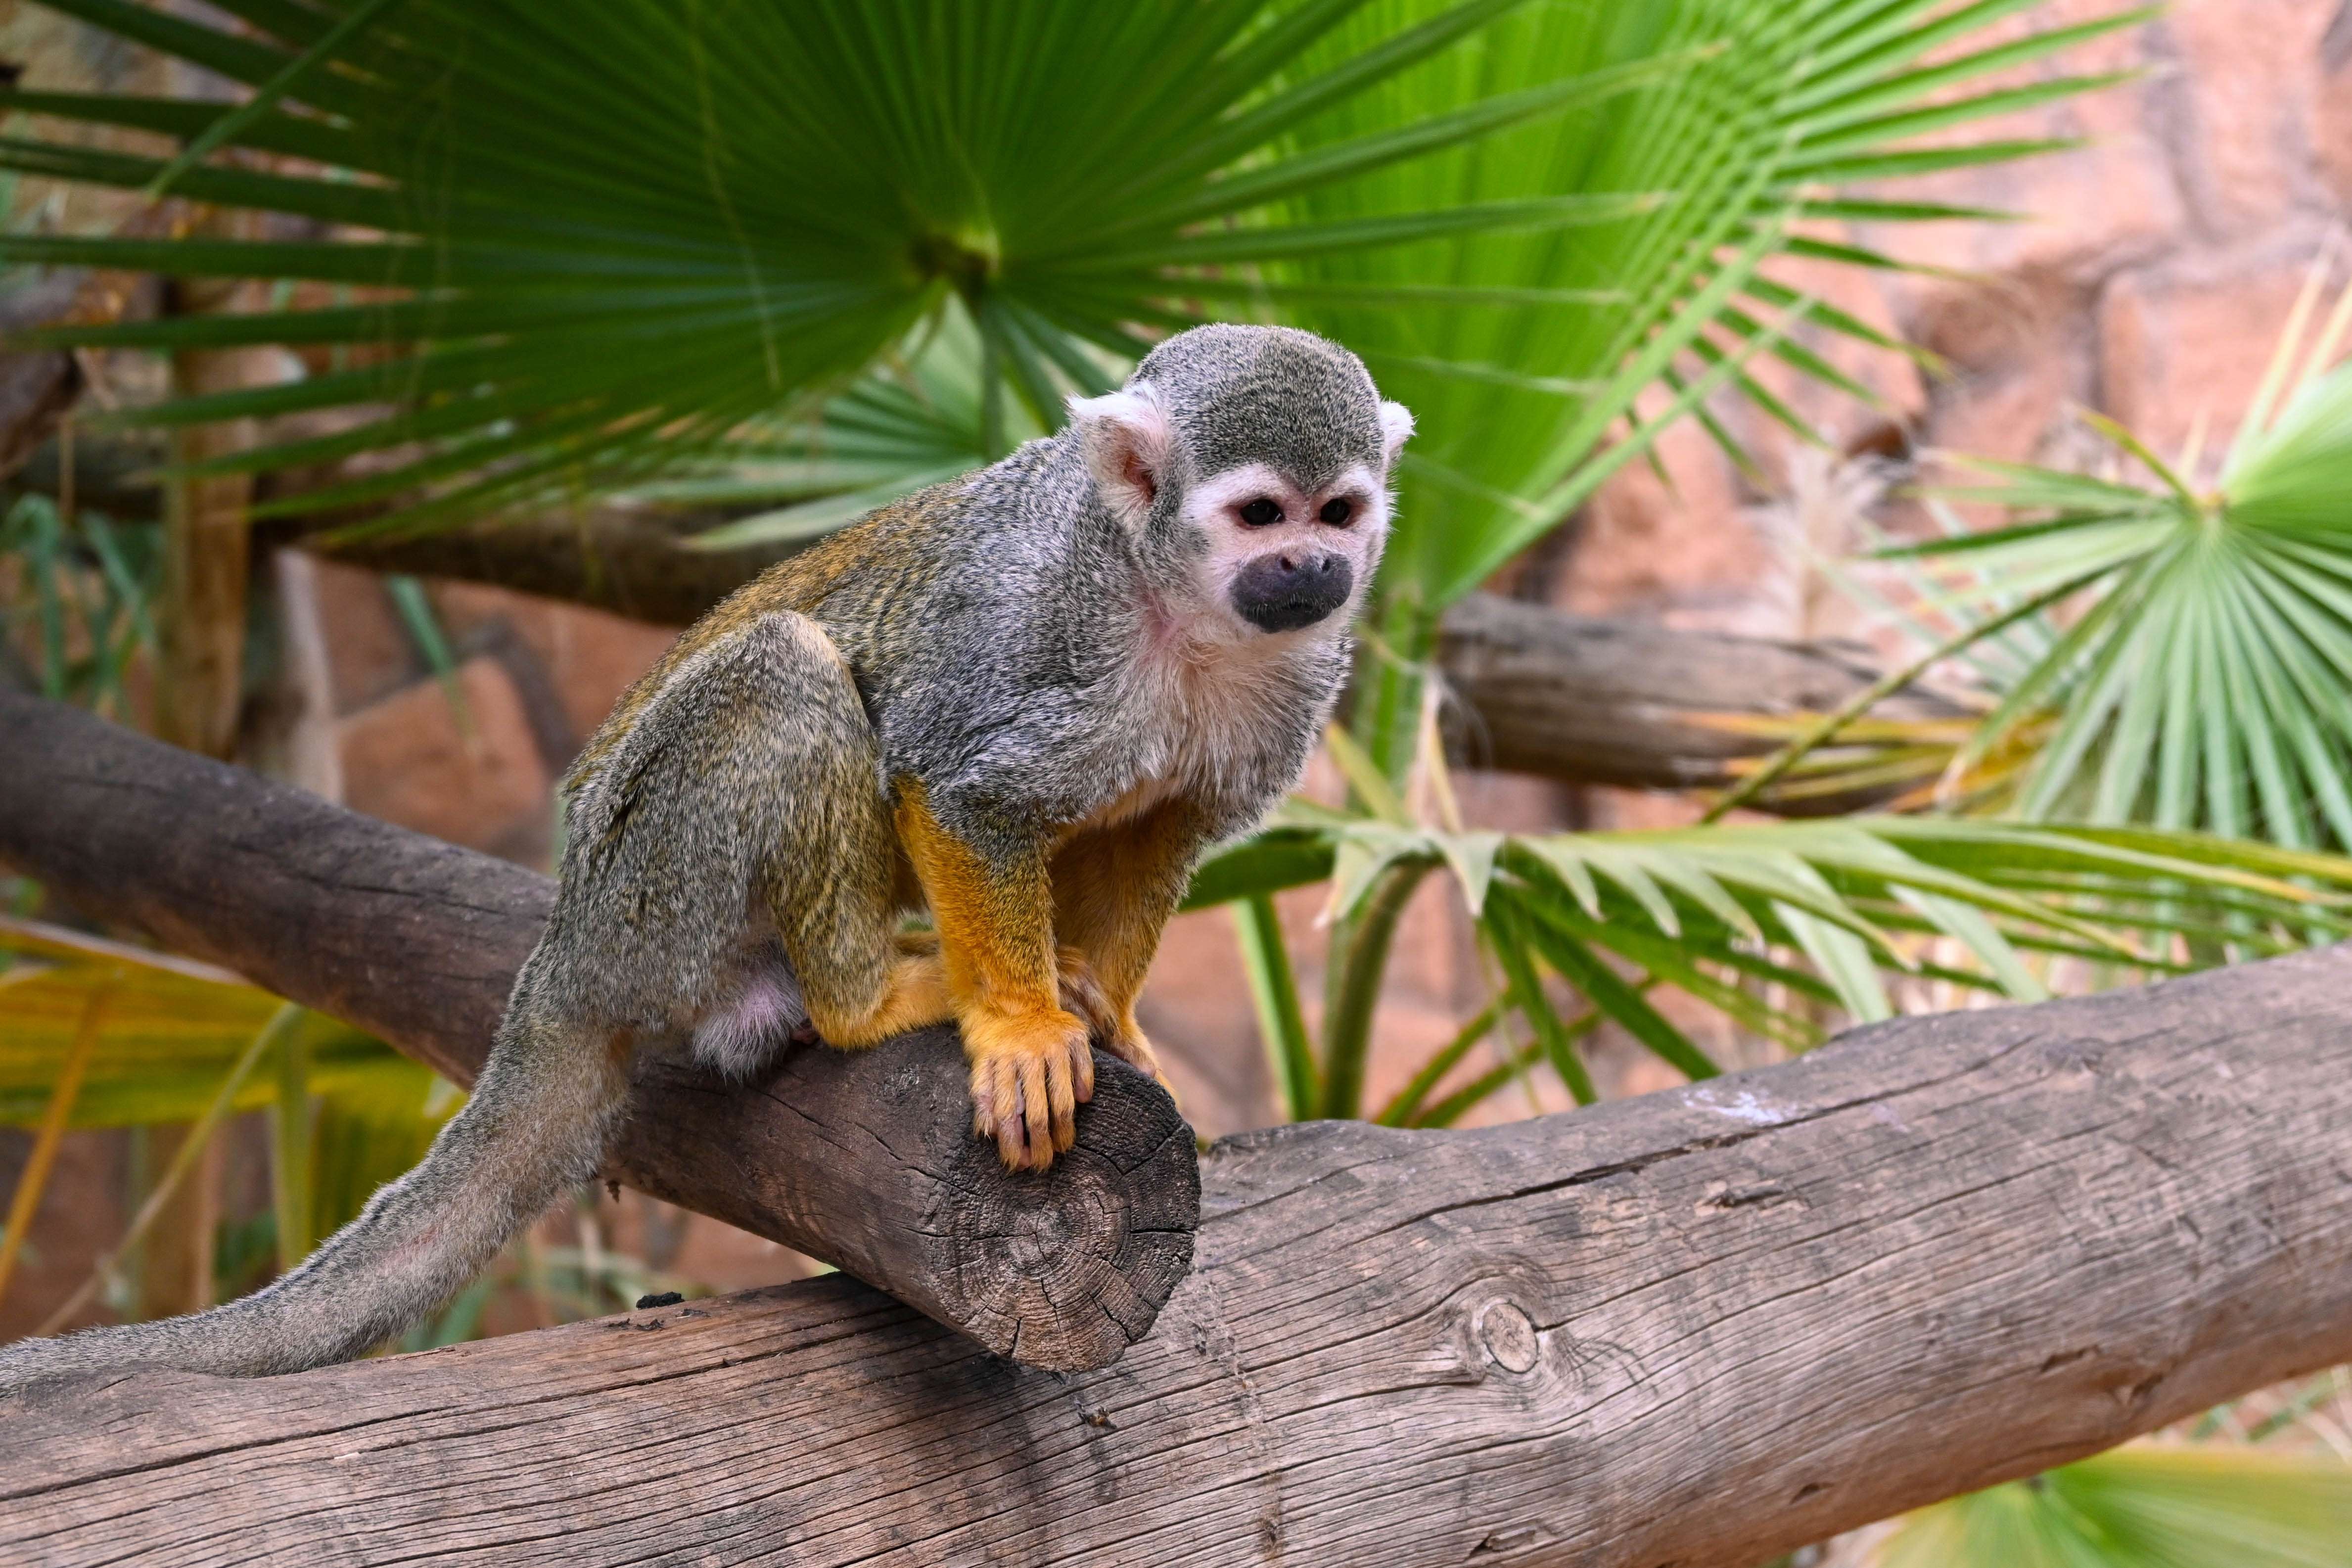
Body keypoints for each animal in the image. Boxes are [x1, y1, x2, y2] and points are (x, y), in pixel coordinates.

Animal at [0, 324, 1412, 1388]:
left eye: (1338, 509)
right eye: (1257, 513)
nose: (1312, 564)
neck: (1172, 603)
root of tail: (564, 943)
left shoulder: (1293, 679)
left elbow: (1160, 824)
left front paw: (1101, 1006)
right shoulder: (1039, 623)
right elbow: (959, 782)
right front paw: (1021, 1026)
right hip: (652, 885)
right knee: (787, 669)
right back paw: (861, 998)